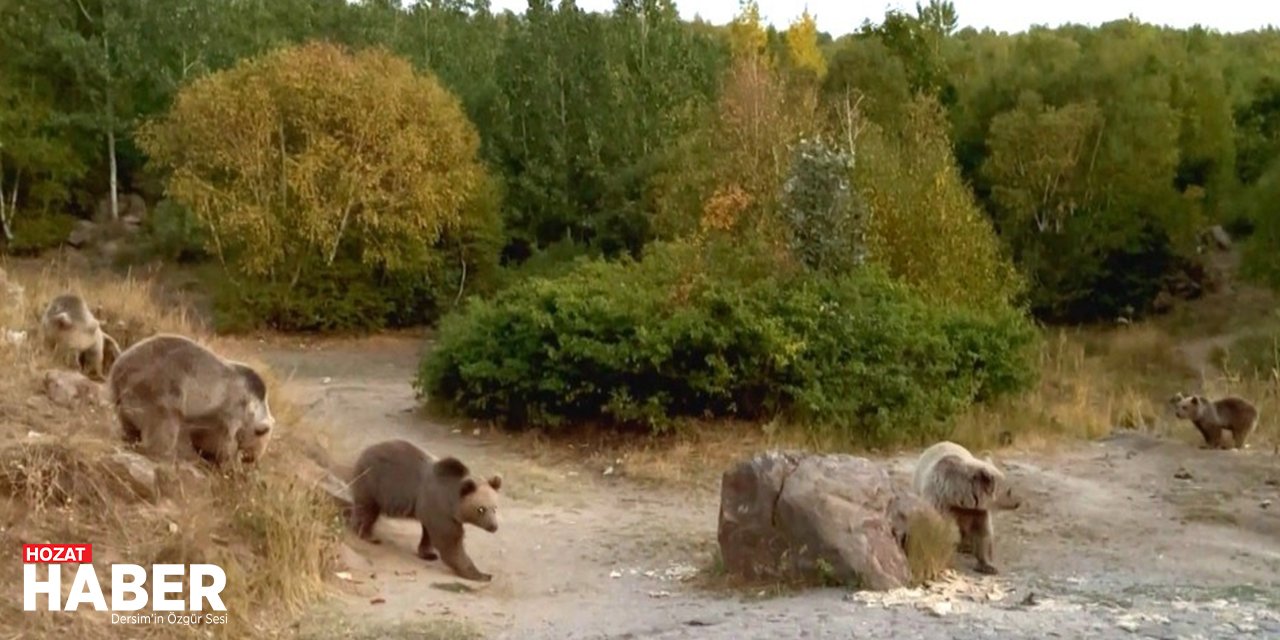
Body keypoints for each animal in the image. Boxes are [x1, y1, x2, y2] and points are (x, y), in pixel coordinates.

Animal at [350, 437, 499, 583]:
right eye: (481, 509)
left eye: (495, 508)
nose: (494, 526)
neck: (452, 502)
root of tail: (363, 452)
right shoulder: (440, 509)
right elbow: (450, 543)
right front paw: (482, 574)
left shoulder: (432, 510)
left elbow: (429, 534)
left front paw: (428, 553)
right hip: (373, 483)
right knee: (368, 510)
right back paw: (367, 535)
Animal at [911, 440, 1018, 576]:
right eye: (1009, 491)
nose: (1018, 502)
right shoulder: (940, 502)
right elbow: (939, 531)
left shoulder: (977, 511)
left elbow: (982, 532)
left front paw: (988, 566)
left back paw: (966, 546)